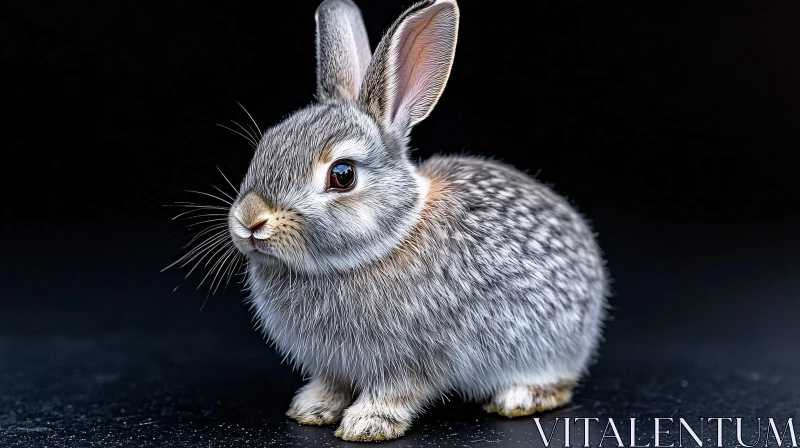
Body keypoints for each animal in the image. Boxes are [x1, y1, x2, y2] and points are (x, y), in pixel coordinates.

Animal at [223, 0, 608, 440]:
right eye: (267, 144)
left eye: (342, 175)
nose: (250, 220)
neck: (387, 241)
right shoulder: (334, 366)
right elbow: (331, 385)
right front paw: (311, 409)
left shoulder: (415, 359)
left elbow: (397, 391)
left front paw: (367, 424)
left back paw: (519, 399)